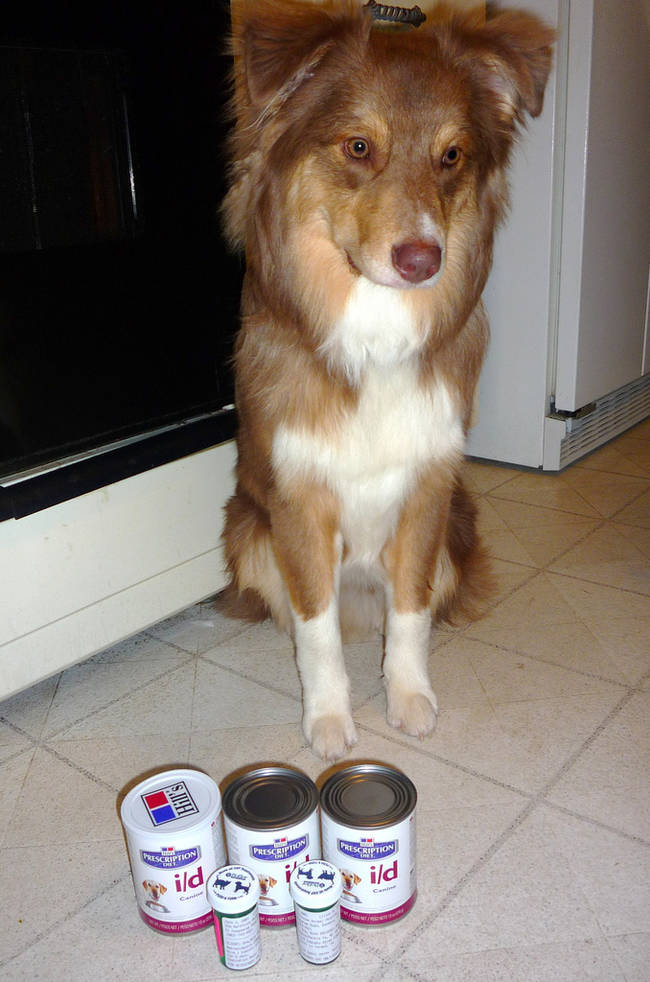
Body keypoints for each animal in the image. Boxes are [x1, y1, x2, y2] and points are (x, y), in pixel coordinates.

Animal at [219, 0, 552, 760]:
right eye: (358, 147)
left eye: (452, 155)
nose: (423, 260)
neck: (374, 336)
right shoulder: (297, 502)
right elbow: (316, 633)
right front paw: (329, 719)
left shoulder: (428, 493)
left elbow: (411, 614)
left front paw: (408, 699)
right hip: (247, 531)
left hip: (459, 527)